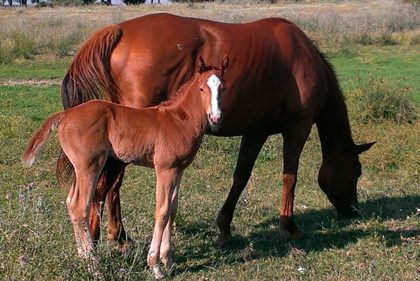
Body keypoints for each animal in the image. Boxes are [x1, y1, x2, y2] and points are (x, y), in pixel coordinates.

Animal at [22, 55, 228, 278]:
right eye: (201, 88)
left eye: (223, 88)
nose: (216, 118)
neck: (179, 119)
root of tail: (66, 114)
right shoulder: (165, 169)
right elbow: (162, 211)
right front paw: (155, 265)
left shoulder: (178, 170)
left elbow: (172, 210)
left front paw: (169, 262)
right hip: (90, 166)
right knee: (80, 207)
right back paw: (94, 264)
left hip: (81, 168)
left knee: (71, 202)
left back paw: (83, 256)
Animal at [58, 13, 374, 245]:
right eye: (356, 171)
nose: (353, 212)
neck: (303, 58)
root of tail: (120, 29)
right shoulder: (298, 127)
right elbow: (290, 176)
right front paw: (289, 226)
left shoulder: (256, 131)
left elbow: (241, 177)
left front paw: (224, 228)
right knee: (107, 182)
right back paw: (106, 236)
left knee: (109, 184)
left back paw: (114, 235)